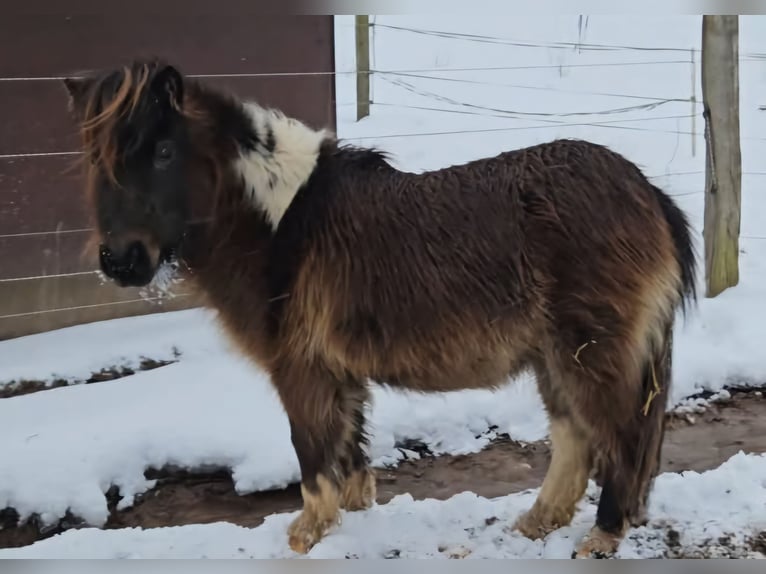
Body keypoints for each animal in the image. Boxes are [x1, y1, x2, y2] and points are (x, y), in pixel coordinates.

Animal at [63, 60, 700, 560]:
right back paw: (536, 523)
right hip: (554, 356)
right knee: (574, 439)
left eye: (164, 151)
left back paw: (601, 537)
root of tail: (647, 193)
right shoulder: (339, 374)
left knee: (619, 438)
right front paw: (352, 522)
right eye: (96, 157)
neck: (281, 224)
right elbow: (351, 453)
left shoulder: (301, 370)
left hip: (589, 353)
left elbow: (311, 451)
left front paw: (307, 537)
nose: (121, 260)